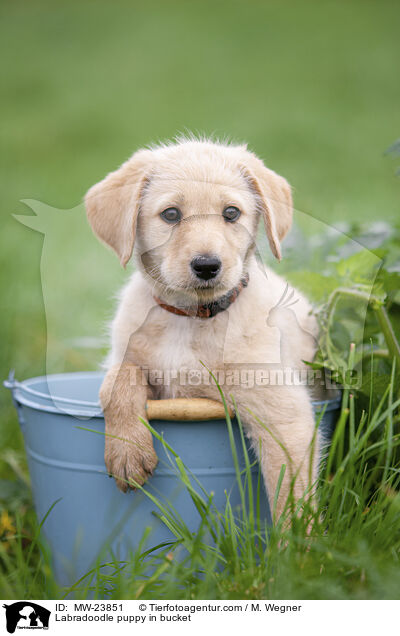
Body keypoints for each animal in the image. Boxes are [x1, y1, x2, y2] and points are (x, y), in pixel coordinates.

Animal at [85, 137, 322, 520]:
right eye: (170, 214)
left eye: (231, 213)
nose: (208, 265)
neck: (190, 318)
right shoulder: (125, 355)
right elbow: (119, 378)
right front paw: (127, 451)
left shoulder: (283, 414)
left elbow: (292, 500)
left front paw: (297, 540)